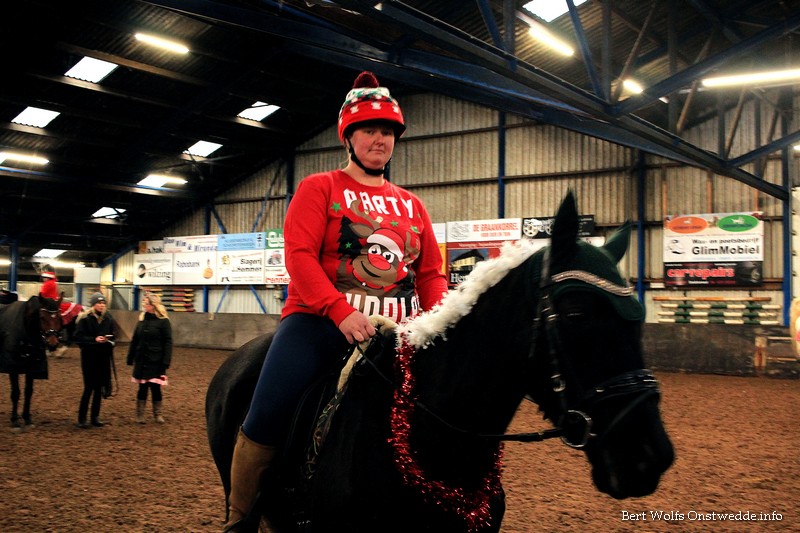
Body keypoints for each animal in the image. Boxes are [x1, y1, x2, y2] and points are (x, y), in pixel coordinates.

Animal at [0, 293, 63, 428]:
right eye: (42, 317)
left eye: (59, 317)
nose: (53, 343)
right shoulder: (13, 368)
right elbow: (16, 393)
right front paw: (15, 420)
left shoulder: (32, 367)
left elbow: (28, 392)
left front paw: (27, 418)